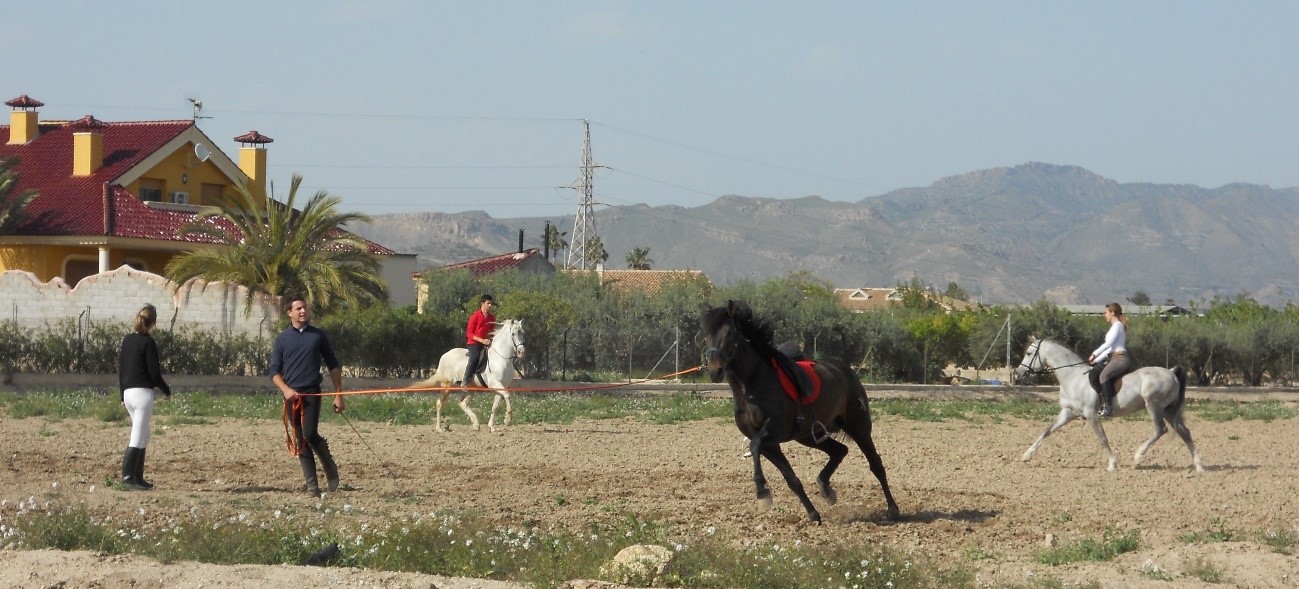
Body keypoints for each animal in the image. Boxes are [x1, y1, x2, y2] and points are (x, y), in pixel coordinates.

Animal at [706, 300, 898, 520]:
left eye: (729, 333)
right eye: (705, 335)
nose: (714, 371)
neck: (751, 387)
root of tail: (844, 369)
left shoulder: (773, 432)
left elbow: (754, 446)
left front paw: (762, 492)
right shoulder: (771, 444)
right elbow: (791, 479)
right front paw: (813, 514)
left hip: (858, 427)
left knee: (876, 464)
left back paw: (893, 509)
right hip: (808, 435)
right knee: (840, 450)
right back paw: (826, 489)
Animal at [1008, 338, 1200, 470]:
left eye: (1029, 353)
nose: (1018, 374)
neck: (1073, 377)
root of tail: (1171, 372)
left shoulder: (1091, 414)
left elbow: (1102, 438)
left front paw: (1113, 464)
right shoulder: (1068, 412)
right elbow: (1047, 431)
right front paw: (1026, 455)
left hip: (1154, 406)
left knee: (1161, 429)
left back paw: (1138, 456)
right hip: (1168, 410)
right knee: (1184, 432)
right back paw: (1199, 465)